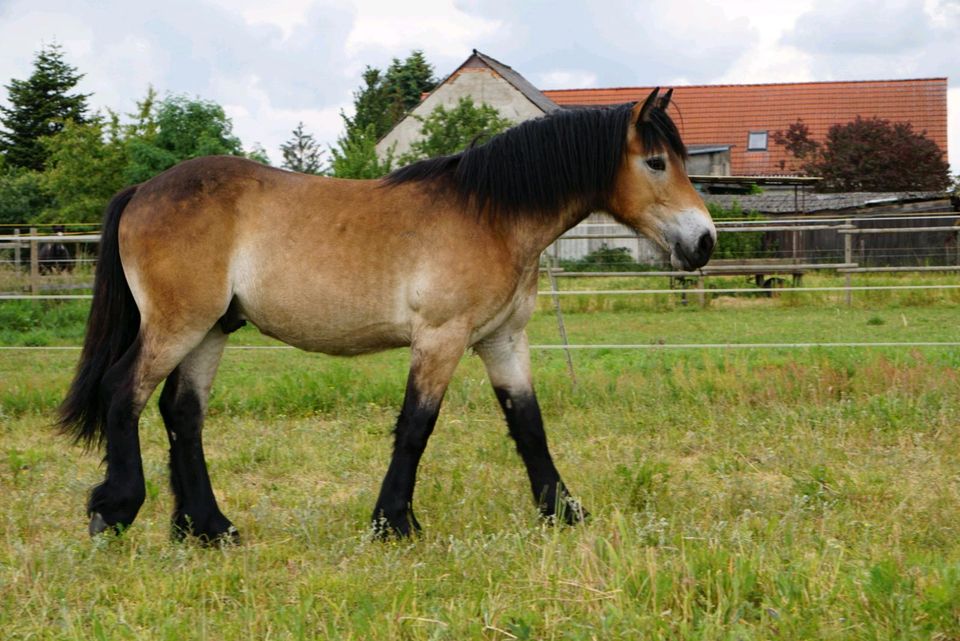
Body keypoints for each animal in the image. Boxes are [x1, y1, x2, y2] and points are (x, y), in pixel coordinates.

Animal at [58, 87, 712, 544]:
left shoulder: (502, 340)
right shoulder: (441, 338)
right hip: (178, 325)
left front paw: (563, 513)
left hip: (211, 329)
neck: (491, 215)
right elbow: (416, 427)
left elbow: (529, 426)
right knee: (123, 393)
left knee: (182, 414)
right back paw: (115, 510)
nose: (704, 241)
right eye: (657, 162)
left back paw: (210, 529)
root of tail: (143, 191)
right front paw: (393, 523)